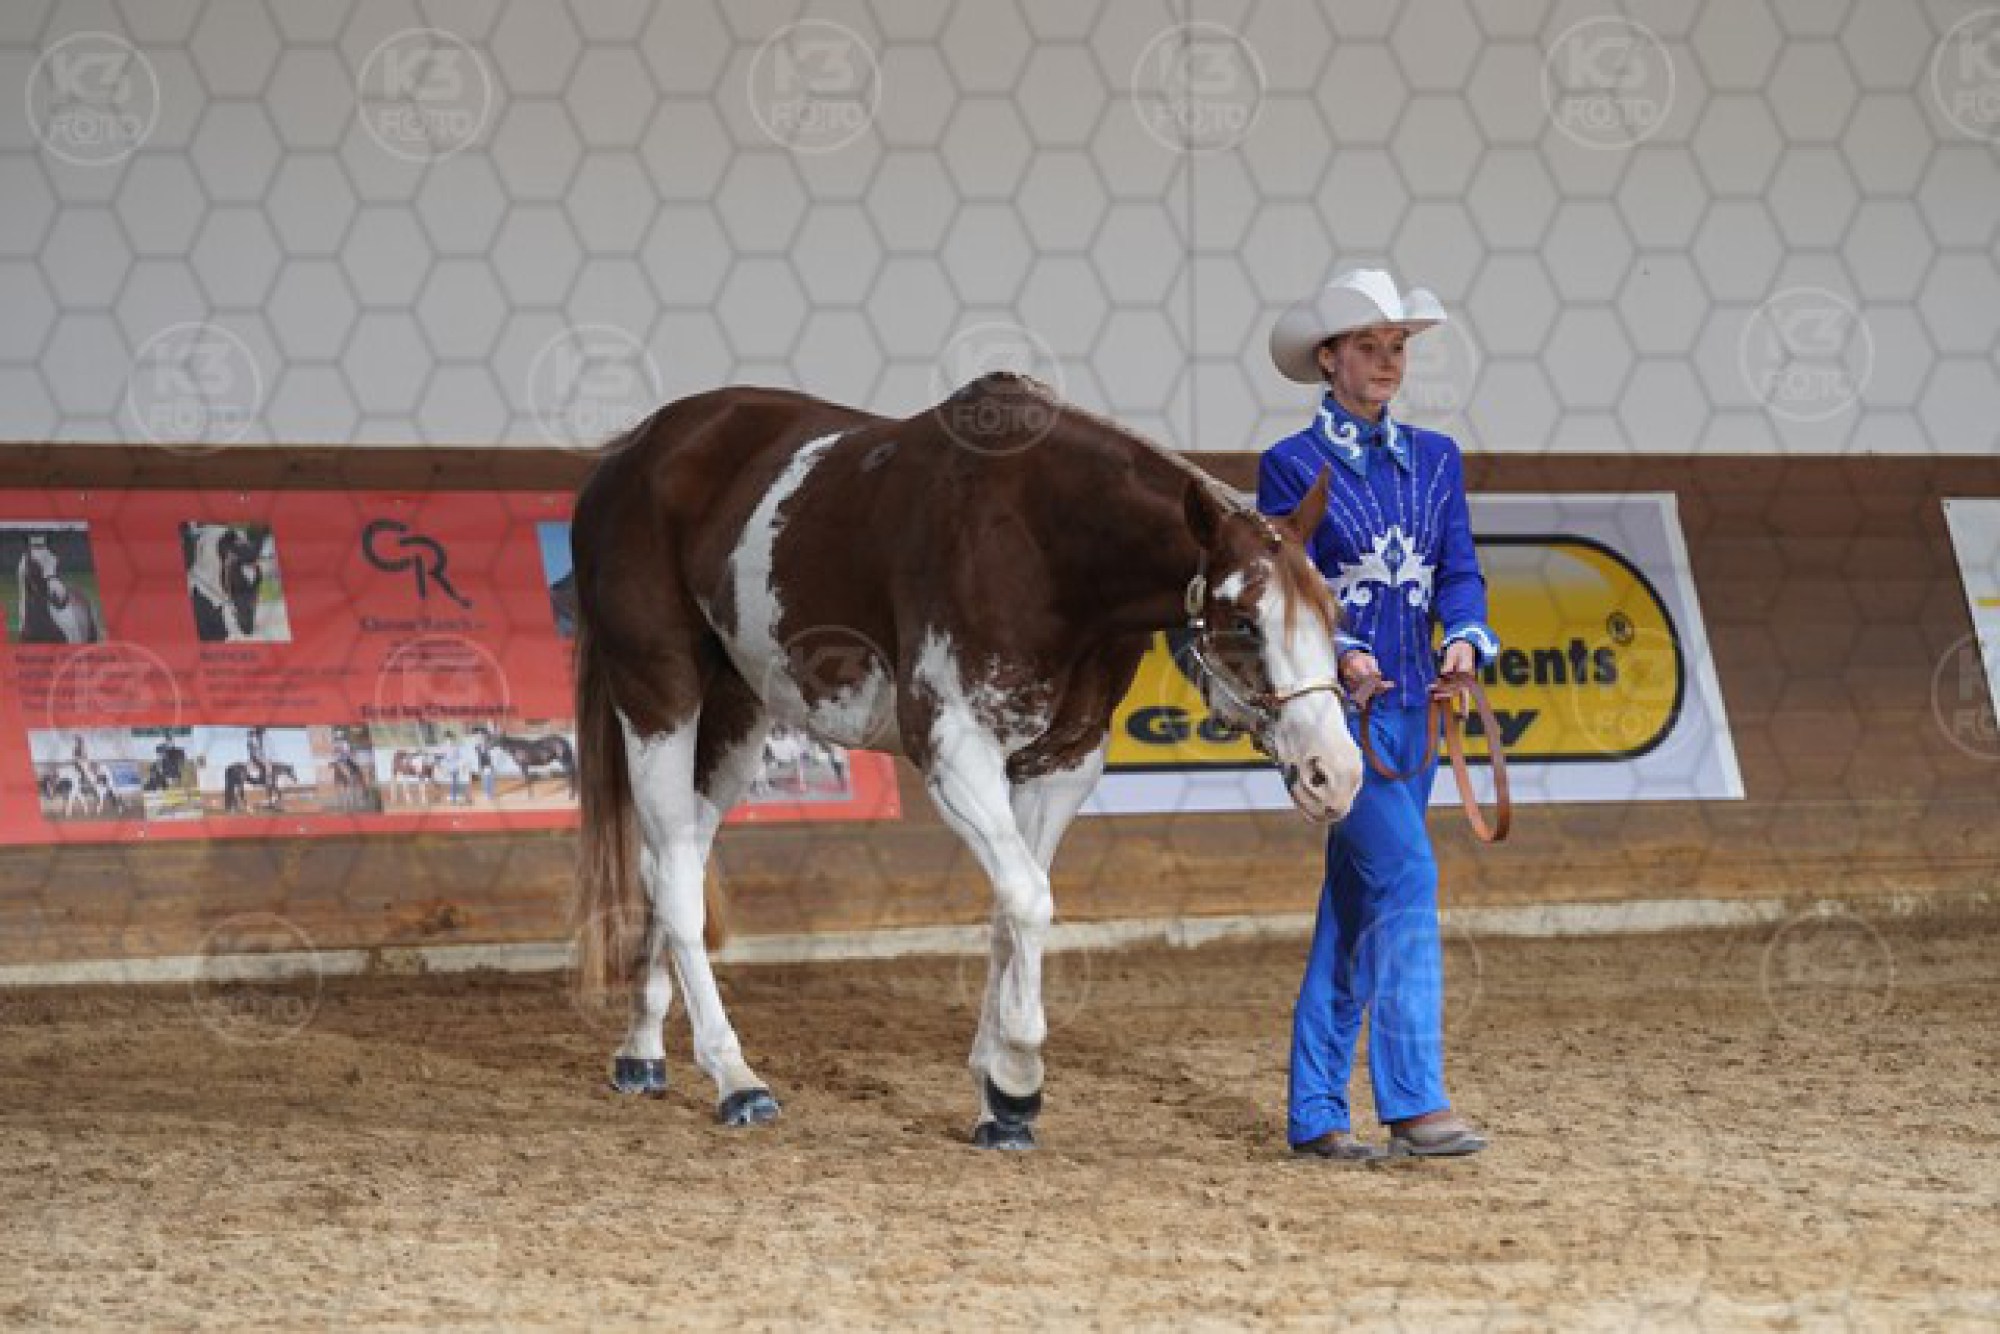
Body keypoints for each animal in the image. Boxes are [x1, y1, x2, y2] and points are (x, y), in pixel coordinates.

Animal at [570, 375, 1361, 1149]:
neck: (1046, 548)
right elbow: (1030, 899)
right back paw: (735, 1078)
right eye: (1243, 621)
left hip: (738, 714)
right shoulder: (954, 751)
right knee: (675, 874)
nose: (1336, 772)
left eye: (1334, 610)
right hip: (659, 698)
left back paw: (643, 1048)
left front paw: (993, 1096)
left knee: (673, 858)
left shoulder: (1060, 764)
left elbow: (1013, 906)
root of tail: (628, 453)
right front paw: (1016, 1082)